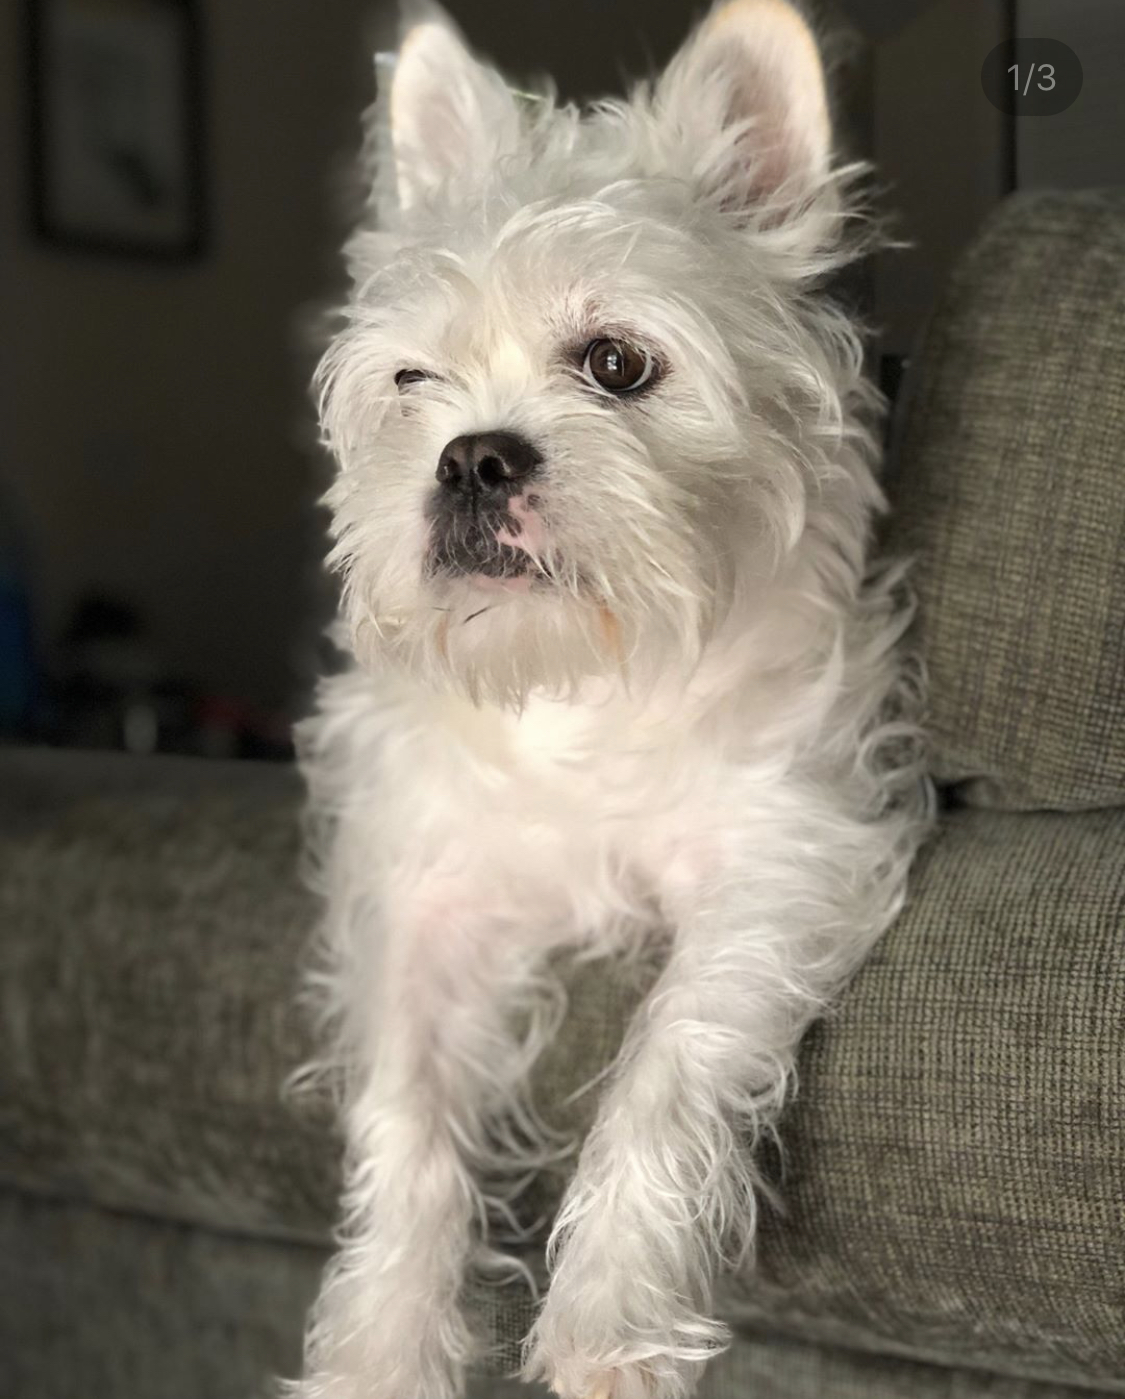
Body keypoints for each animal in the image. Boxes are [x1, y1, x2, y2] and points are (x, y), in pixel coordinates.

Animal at [288, 5, 923, 1393]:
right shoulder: (421, 918)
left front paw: (606, 1322)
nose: (474, 457)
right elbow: (407, 1134)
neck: (583, 679)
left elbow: (659, 1071)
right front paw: (382, 1343)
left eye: (618, 364)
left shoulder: (776, 868)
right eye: (412, 381)